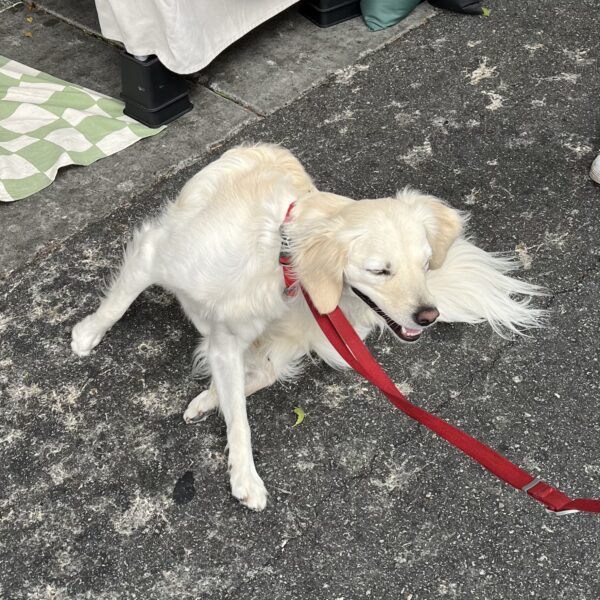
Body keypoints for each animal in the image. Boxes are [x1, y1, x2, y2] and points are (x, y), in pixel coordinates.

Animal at [72, 143, 548, 508]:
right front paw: (87, 335)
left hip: (316, 337)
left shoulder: (233, 337)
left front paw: (243, 473)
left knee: (260, 374)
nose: (427, 317)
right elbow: (117, 306)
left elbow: (239, 411)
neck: (277, 256)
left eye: (426, 264)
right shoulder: (154, 255)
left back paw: (205, 400)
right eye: (380, 271)